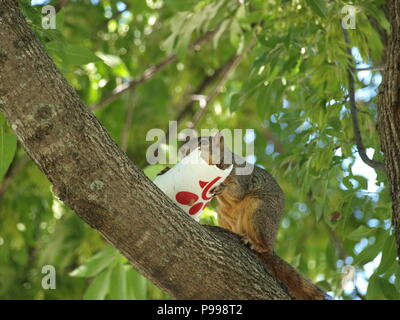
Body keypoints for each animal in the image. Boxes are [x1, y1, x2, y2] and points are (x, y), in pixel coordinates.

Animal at [162, 132, 328, 300]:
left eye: (203, 143)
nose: (182, 151)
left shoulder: (241, 177)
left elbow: (238, 191)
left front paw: (222, 186)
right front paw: (165, 170)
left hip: (259, 211)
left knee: (264, 246)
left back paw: (255, 243)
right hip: (223, 214)